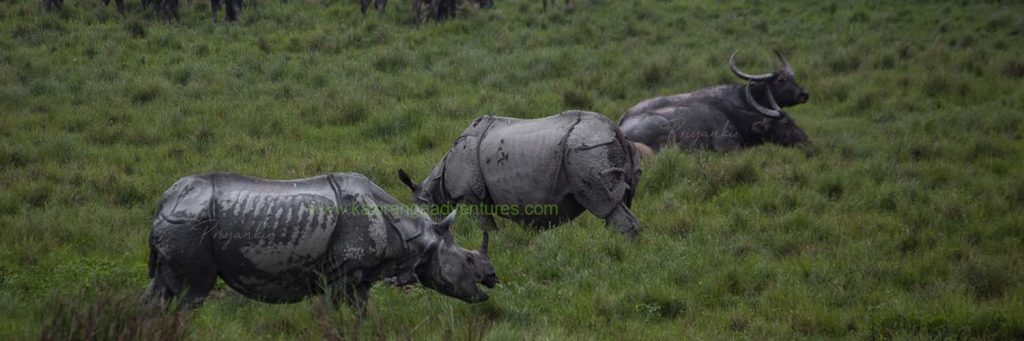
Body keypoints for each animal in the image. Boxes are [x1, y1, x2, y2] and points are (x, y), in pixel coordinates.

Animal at [142, 173, 497, 311]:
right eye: (468, 260)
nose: (493, 277)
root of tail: (164, 200)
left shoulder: (361, 276)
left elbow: (360, 315)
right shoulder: (344, 273)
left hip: (183, 222)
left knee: (161, 291)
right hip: (191, 225)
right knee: (191, 294)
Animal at [397, 110, 638, 237]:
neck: (435, 187)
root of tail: (615, 130)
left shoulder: (469, 194)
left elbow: (486, 226)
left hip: (587, 149)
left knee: (604, 203)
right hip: (601, 148)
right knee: (617, 203)